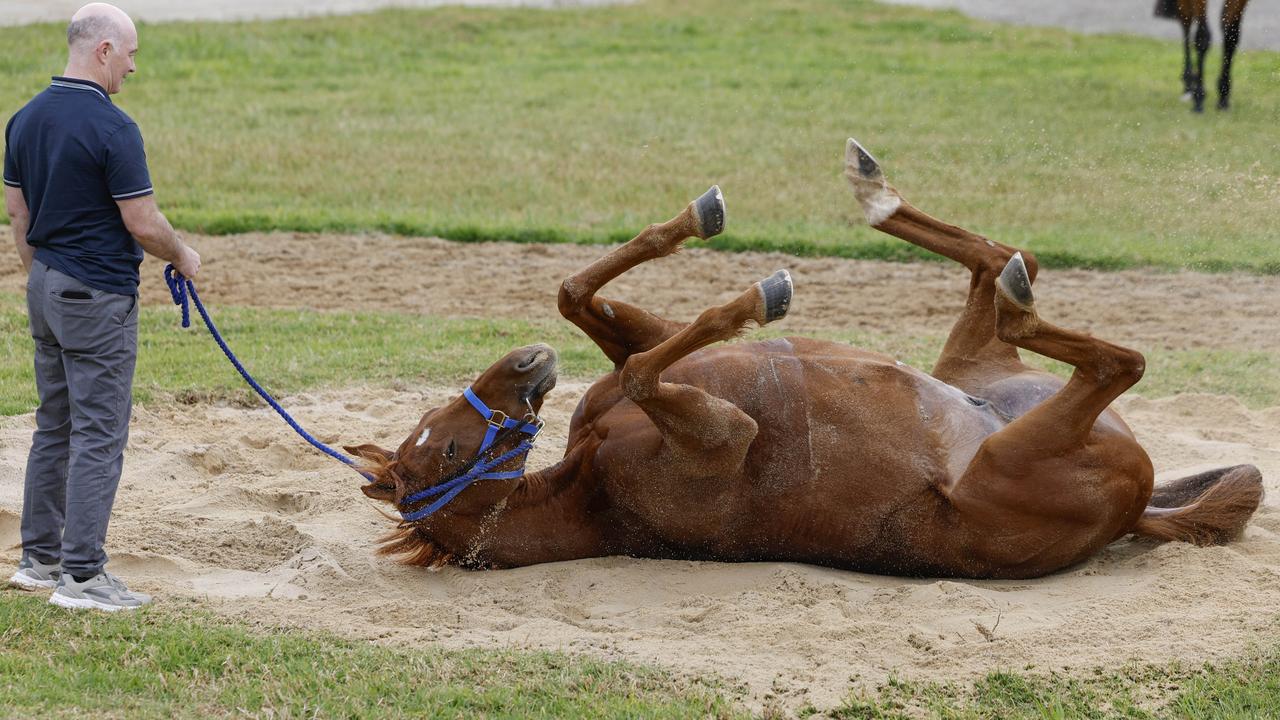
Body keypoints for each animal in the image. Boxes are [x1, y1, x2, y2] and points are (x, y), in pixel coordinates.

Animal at [345, 140, 1264, 576]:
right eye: (452, 449)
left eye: (436, 424)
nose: (528, 364)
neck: (592, 480)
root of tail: (1137, 505)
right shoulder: (725, 432)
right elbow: (652, 361)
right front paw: (760, 294)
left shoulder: (650, 367)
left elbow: (582, 298)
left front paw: (700, 220)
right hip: (1022, 443)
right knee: (1111, 356)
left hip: (982, 376)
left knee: (1010, 258)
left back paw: (875, 189)